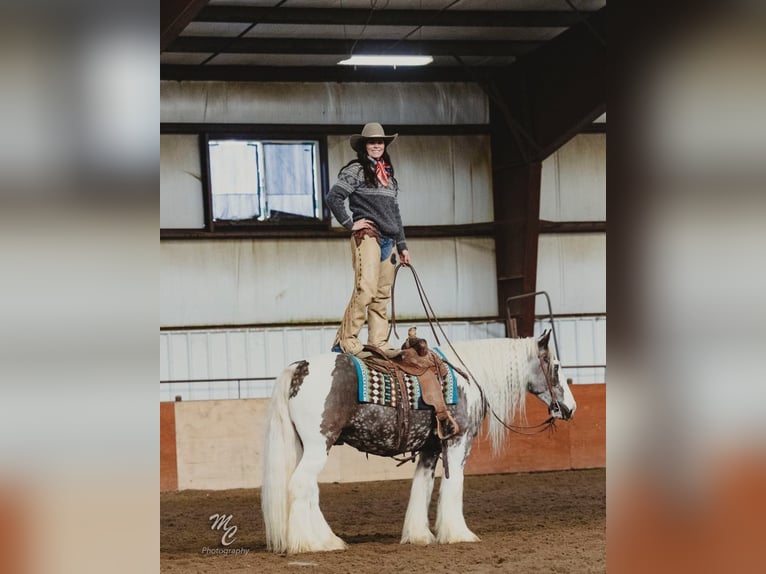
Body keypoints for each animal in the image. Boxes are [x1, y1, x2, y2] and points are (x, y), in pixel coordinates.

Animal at [260, 330, 580, 556]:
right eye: (555, 365)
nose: (570, 408)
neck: (468, 377)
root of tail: (300, 367)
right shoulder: (458, 443)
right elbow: (453, 486)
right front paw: (458, 534)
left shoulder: (430, 448)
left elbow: (422, 488)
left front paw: (419, 536)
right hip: (318, 445)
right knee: (300, 485)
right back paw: (308, 543)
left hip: (308, 447)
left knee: (309, 489)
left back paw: (328, 540)